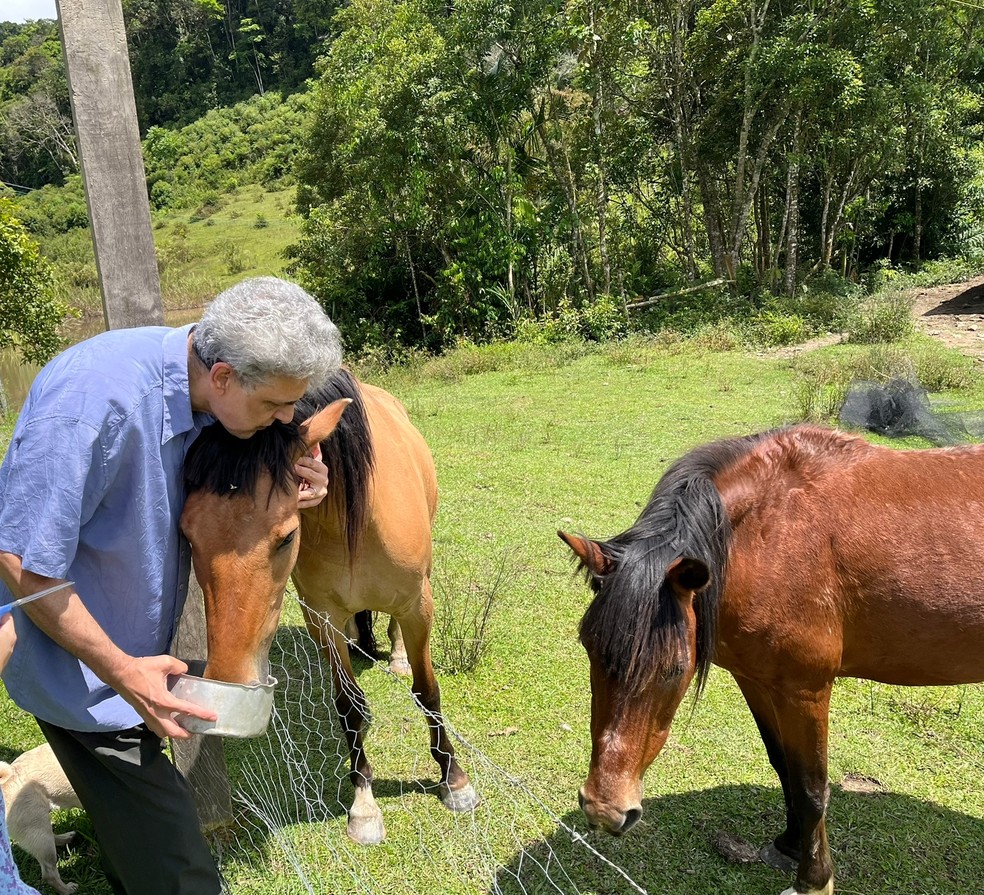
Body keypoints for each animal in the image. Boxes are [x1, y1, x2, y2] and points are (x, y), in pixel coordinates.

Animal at [184, 372, 480, 848]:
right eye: (187, 537)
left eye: (287, 536)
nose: (230, 677)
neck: (349, 519)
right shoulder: (322, 619)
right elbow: (349, 707)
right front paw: (364, 804)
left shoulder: (418, 606)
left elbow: (427, 692)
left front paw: (453, 779)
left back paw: (397, 656)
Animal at [560, 426, 984, 895]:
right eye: (589, 648)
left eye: (674, 669)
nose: (605, 811)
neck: (771, 538)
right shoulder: (757, 679)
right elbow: (784, 767)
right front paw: (790, 845)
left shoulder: (805, 690)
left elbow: (812, 787)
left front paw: (813, 879)